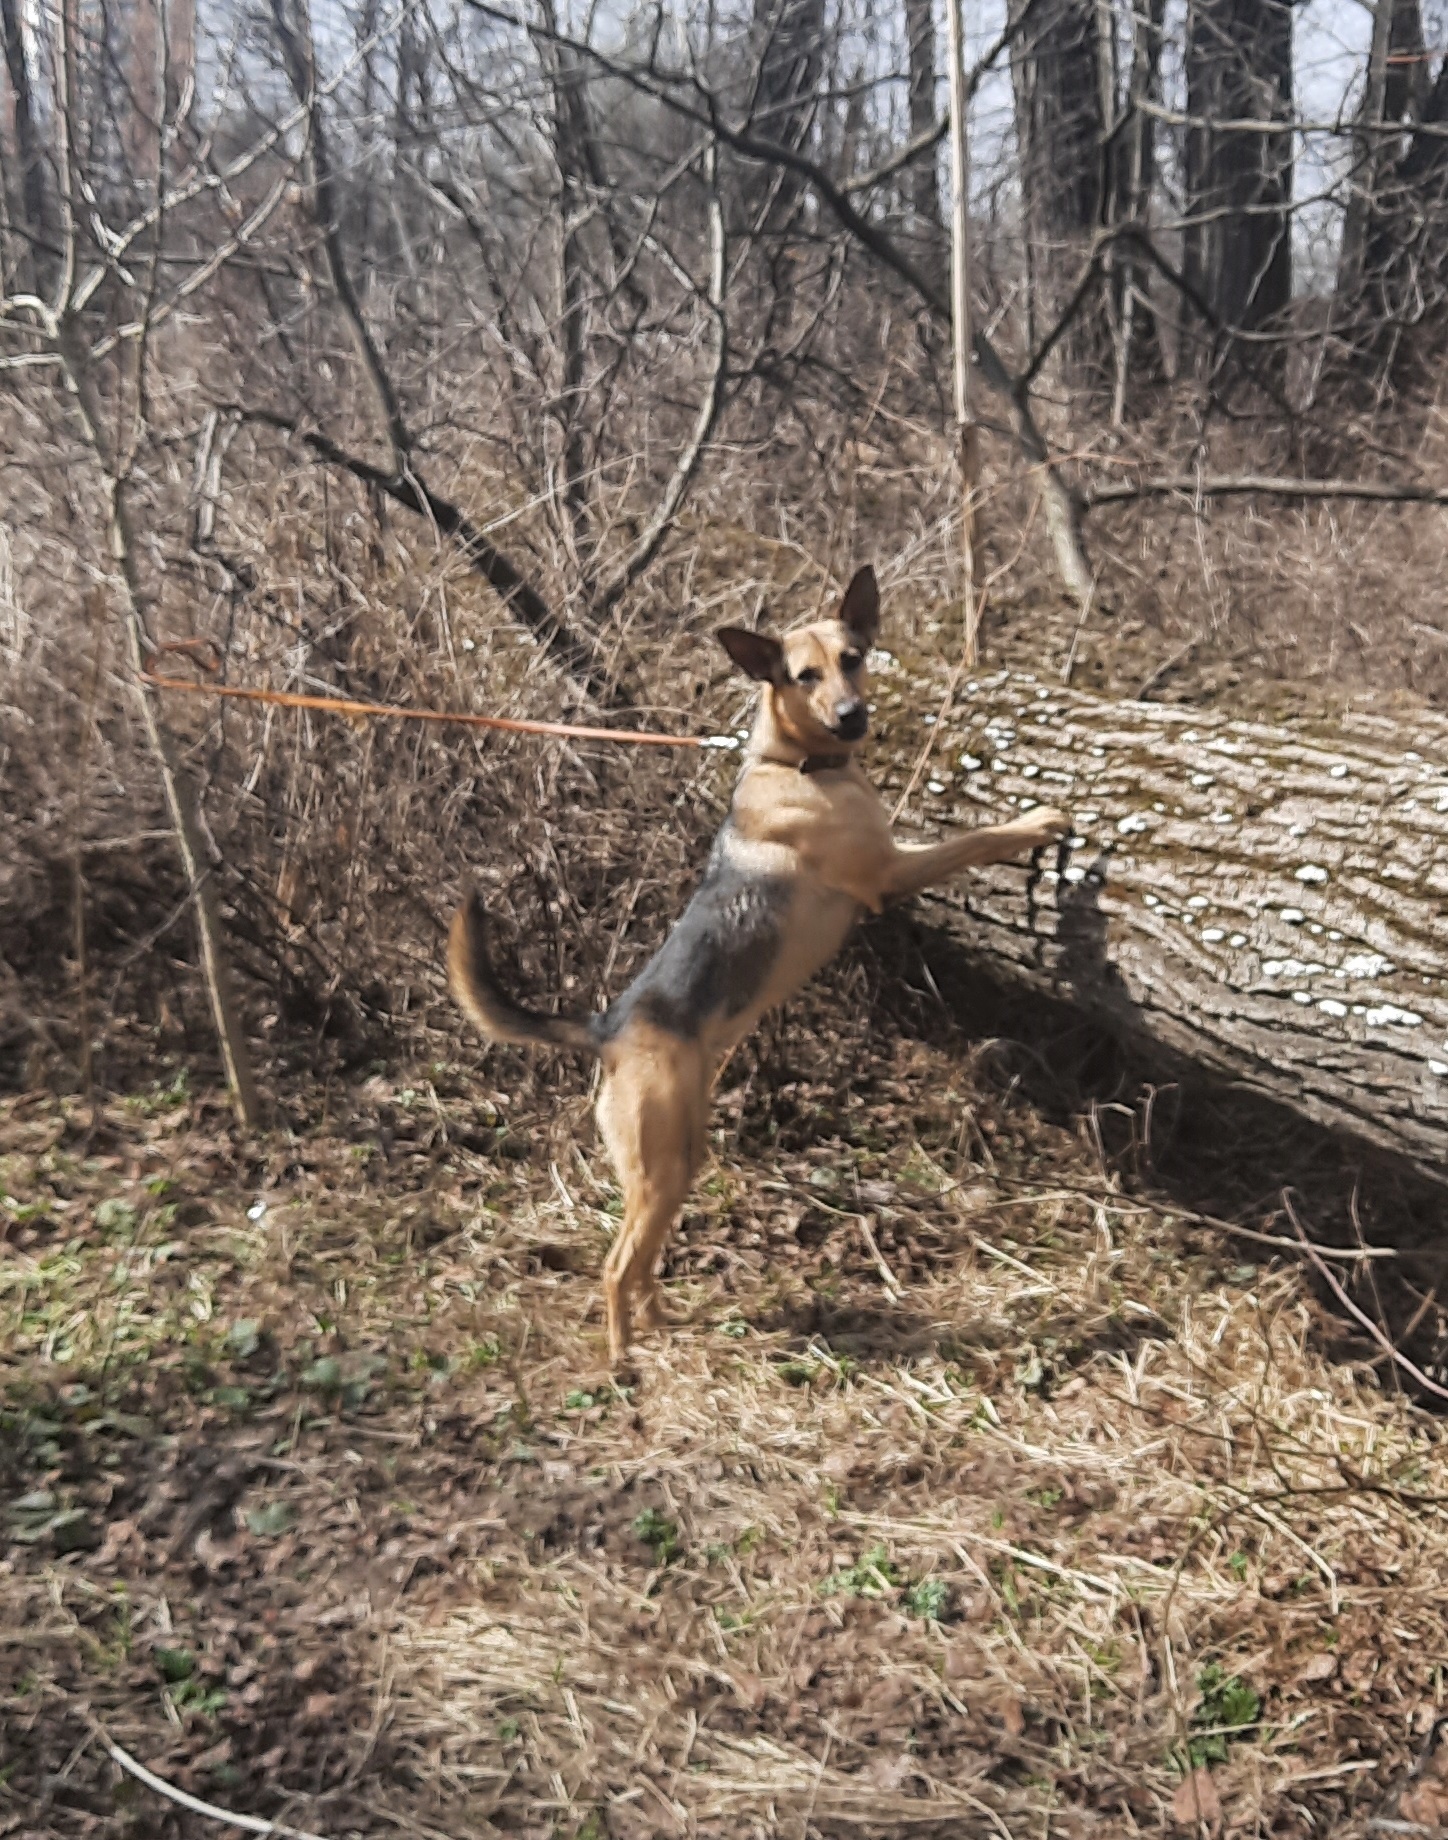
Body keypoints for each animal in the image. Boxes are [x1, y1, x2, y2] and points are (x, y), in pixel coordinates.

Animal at [447, 570, 1067, 1368]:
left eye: (853, 658)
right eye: (804, 676)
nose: (853, 717)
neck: (794, 764)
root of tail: (606, 1026)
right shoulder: (891, 871)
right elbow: (975, 839)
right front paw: (1037, 823)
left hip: (680, 1158)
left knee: (641, 1261)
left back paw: (659, 1325)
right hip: (660, 1164)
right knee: (616, 1264)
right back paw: (623, 1360)